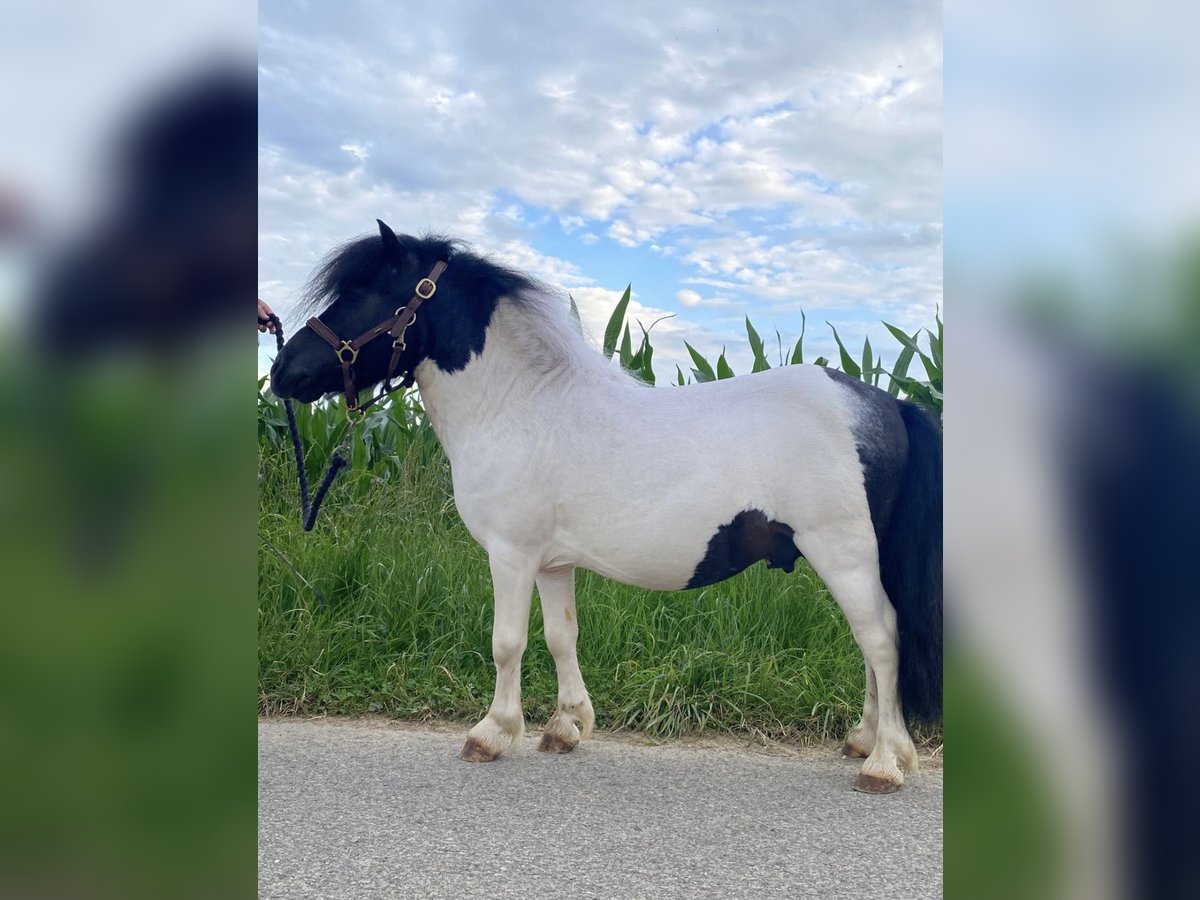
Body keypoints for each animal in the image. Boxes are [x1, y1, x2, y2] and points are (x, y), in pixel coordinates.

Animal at [274, 222, 945, 792]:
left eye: (367, 293)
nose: (283, 371)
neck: (517, 405)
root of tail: (885, 404)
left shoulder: (511, 555)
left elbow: (506, 642)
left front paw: (492, 734)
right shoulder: (551, 563)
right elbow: (559, 637)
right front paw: (566, 727)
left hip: (843, 552)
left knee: (881, 638)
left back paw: (886, 762)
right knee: (871, 643)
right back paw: (863, 739)